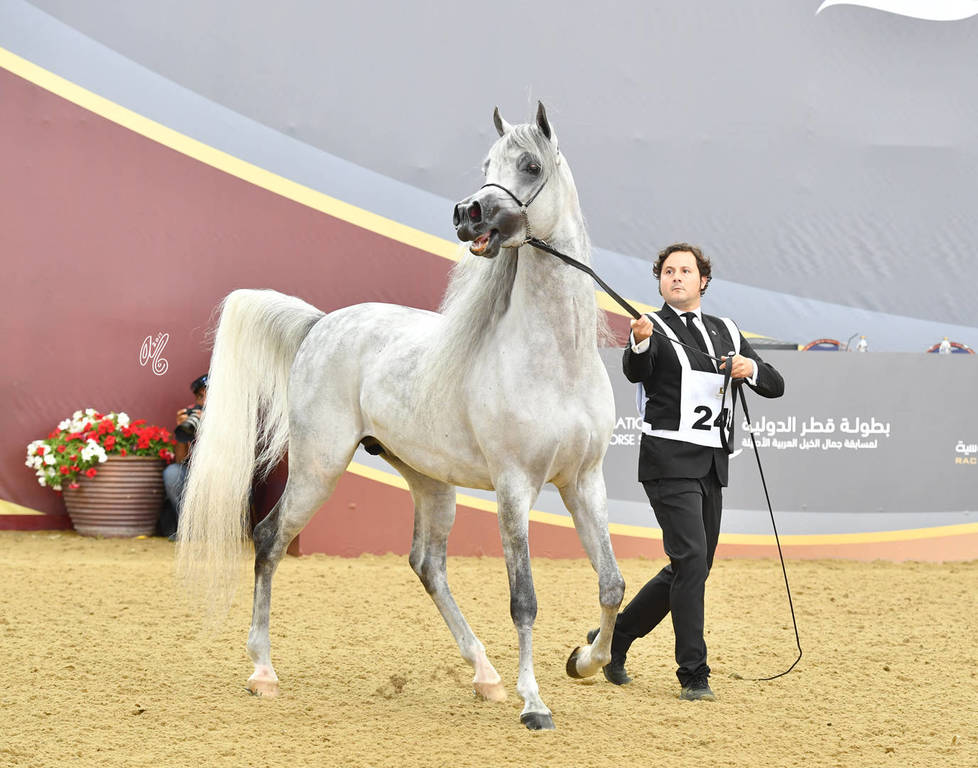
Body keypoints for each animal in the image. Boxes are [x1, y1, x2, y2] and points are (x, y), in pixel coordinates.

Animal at [176, 102, 624, 731]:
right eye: (486, 164)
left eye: (531, 165)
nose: (467, 214)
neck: (556, 360)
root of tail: (319, 324)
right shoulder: (516, 487)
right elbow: (524, 600)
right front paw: (535, 703)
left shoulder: (584, 482)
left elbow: (611, 585)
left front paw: (584, 662)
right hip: (318, 468)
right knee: (268, 539)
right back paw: (263, 671)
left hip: (430, 482)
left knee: (427, 564)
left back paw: (485, 677)